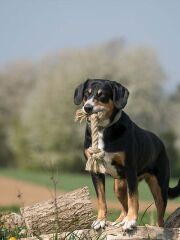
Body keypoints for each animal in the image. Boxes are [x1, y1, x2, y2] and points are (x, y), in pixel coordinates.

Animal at [73, 79, 180, 231]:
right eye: (86, 94)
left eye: (102, 95)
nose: (87, 107)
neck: (103, 130)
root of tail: (161, 143)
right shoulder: (96, 170)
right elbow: (101, 199)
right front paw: (100, 220)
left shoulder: (130, 170)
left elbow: (133, 198)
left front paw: (131, 221)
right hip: (119, 186)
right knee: (124, 207)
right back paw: (119, 221)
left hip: (159, 187)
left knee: (160, 216)